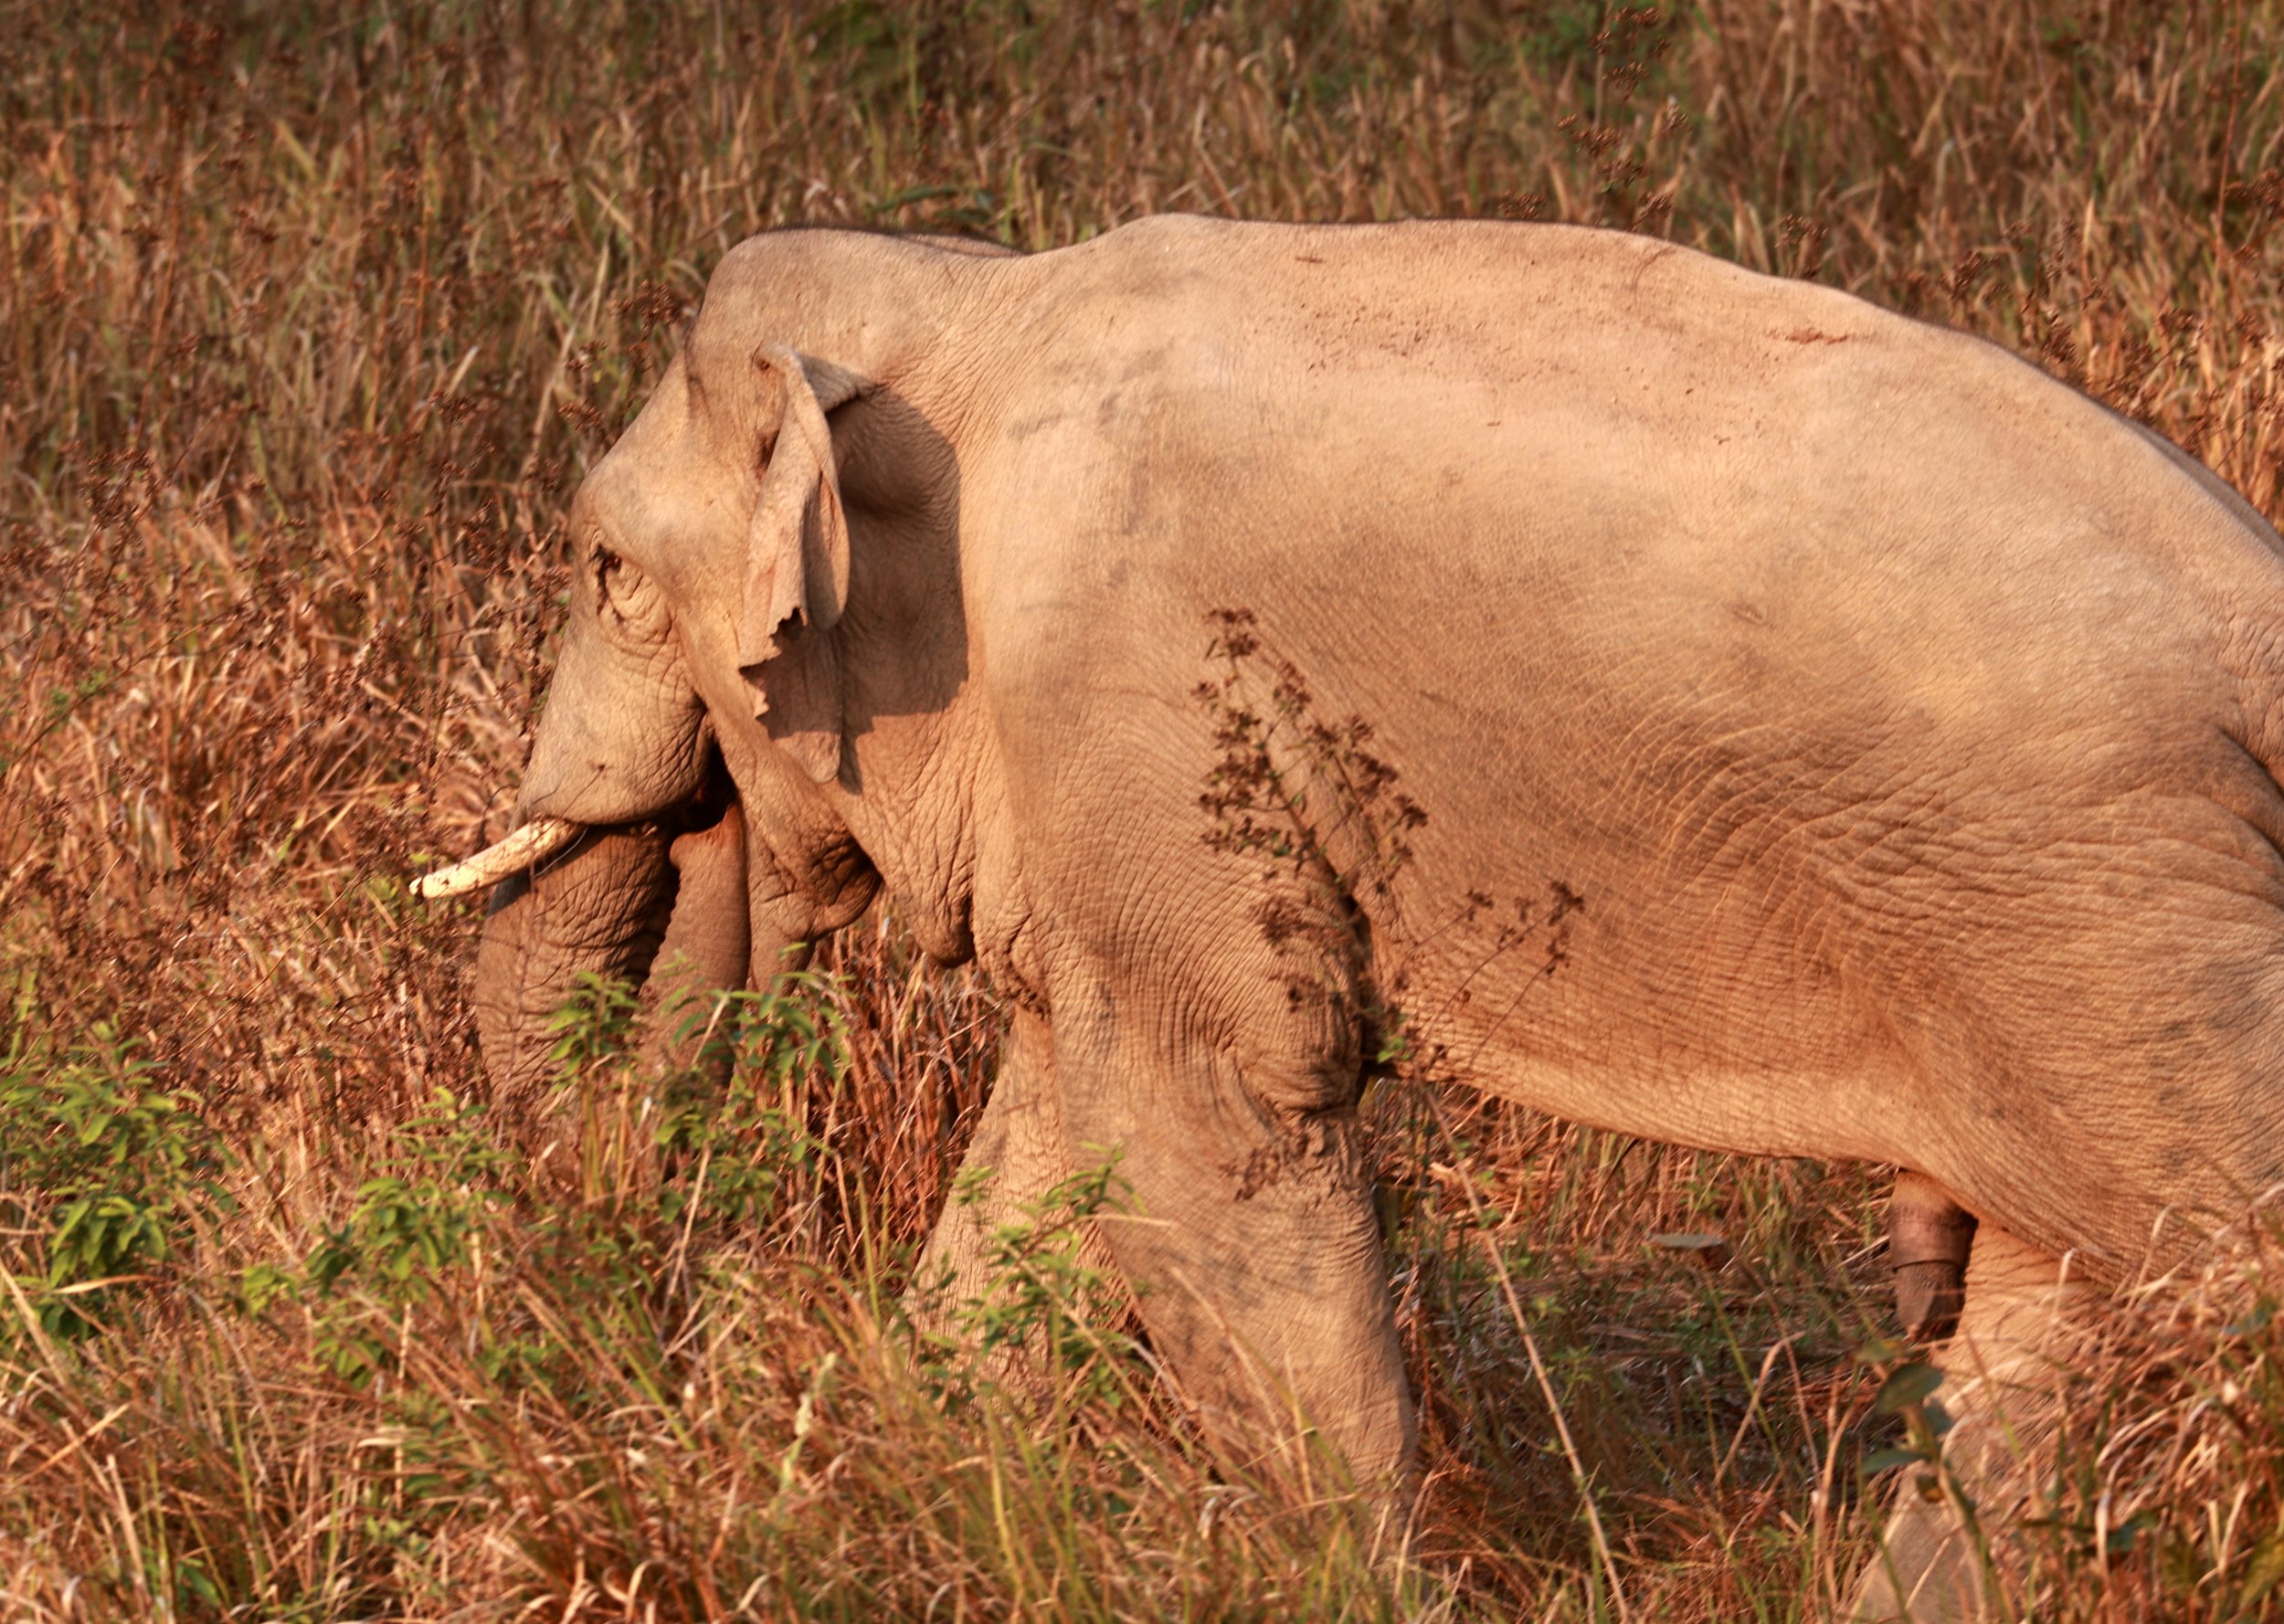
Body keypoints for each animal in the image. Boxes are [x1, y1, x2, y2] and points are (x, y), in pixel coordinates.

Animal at [419, 215, 2284, 1618]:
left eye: (602, 570)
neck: (981, 299)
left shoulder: (1117, 690)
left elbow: (1210, 1122)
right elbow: (1063, 1130)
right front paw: (888, 1494)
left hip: (2109, 923)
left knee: (2198, 1274)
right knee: (2069, 1319)